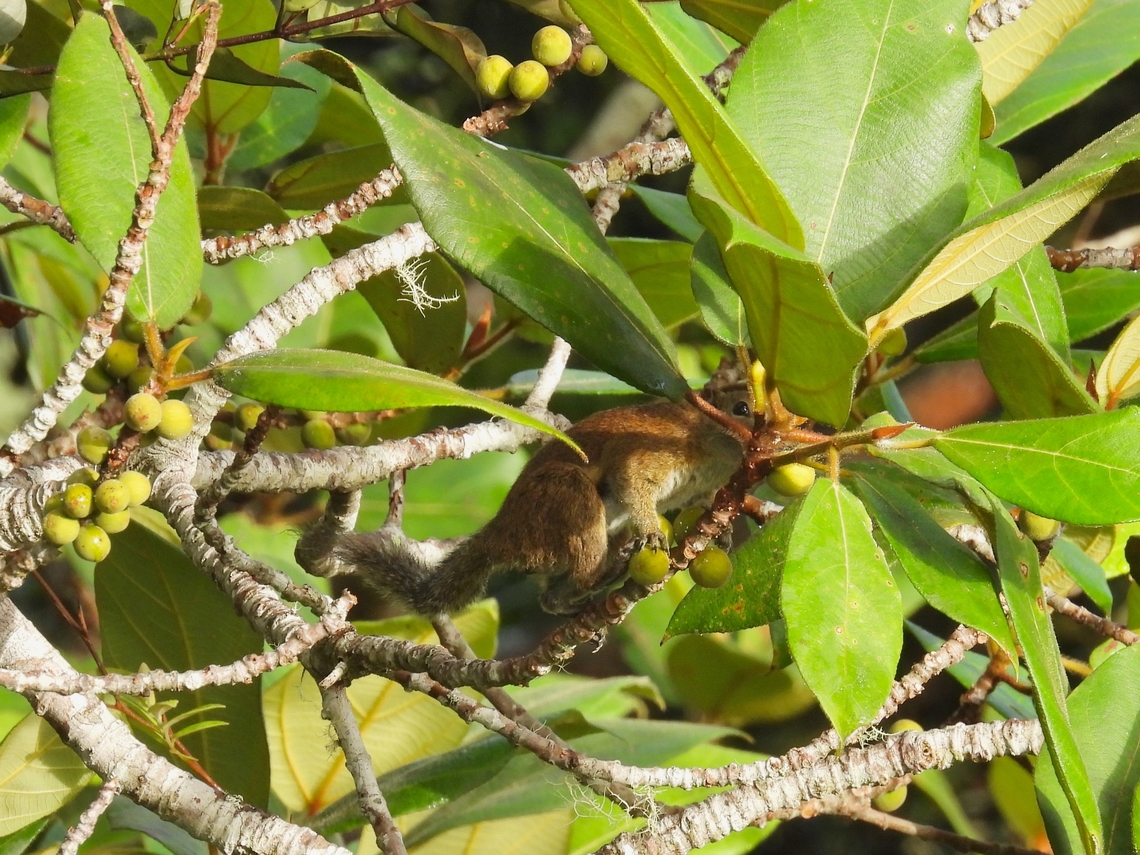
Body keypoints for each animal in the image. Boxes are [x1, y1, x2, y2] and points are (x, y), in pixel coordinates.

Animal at [300, 372, 754, 616]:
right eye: (742, 409)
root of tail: (502, 534)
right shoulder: (653, 452)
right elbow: (633, 482)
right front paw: (655, 534)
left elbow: (700, 508)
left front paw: (722, 535)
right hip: (568, 498)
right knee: (577, 570)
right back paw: (607, 572)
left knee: (550, 596)